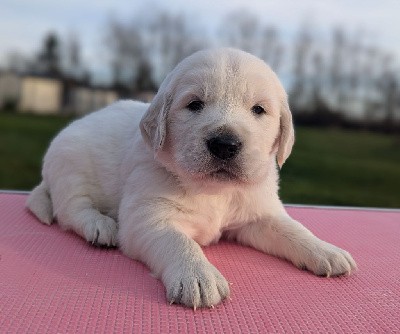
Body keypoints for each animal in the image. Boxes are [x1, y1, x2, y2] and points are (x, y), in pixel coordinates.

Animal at [26, 48, 354, 310]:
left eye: (259, 109)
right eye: (194, 104)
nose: (225, 144)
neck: (213, 190)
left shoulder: (258, 213)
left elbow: (291, 229)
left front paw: (325, 250)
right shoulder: (148, 217)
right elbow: (177, 240)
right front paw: (198, 276)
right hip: (70, 167)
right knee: (70, 209)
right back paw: (99, 225)